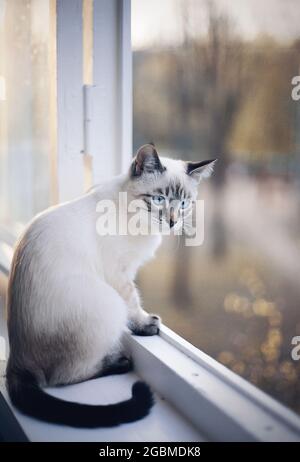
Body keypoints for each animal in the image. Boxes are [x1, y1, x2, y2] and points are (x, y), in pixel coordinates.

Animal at [5, 143, 216, 428]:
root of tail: (15, 361)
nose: (172, 222)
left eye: (183, 204)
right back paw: (119, 362)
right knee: (63, 377)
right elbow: (134, 304)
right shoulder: (120, 274)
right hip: (109, 305)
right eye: (158, 200)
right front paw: (146, 325)